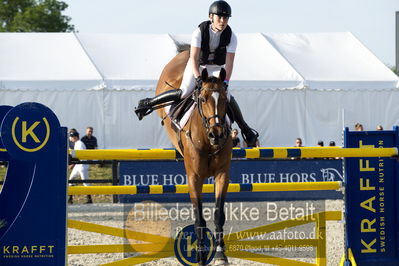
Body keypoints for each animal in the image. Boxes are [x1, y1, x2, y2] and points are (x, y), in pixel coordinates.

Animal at [155, 48, 233, 264]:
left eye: (225, 100)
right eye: (203, 99)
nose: (217, 134)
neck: (206, 140)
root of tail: (184, 52)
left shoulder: (222, 175)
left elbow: (218, 214)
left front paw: (220, 254)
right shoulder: (194, 177)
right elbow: (199, 216)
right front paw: (199, 254)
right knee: (174, 94)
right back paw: (144, 106)